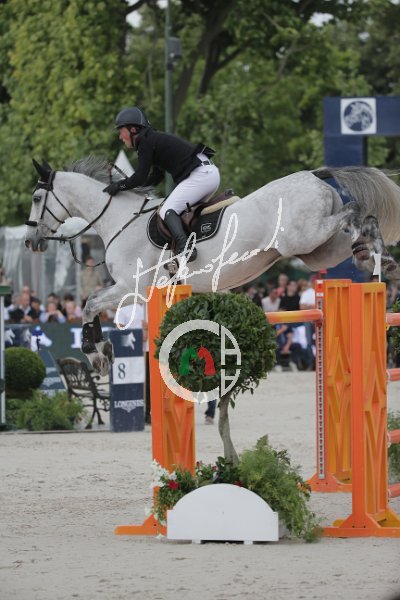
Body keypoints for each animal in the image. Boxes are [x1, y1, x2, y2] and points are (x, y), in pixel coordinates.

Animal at [25, 156, 400, 374]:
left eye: (37, 197)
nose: (30, 241)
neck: (118, 219)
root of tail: (314, 175)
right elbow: (93, 306)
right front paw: (103, 352)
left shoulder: (133, 288)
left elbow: (89, 304)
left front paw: (98, 355)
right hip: (316, 250)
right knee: (354, 230)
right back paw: (379, 258)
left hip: (304, 238)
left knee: (353, 212)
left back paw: (376, 253)